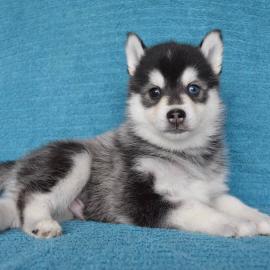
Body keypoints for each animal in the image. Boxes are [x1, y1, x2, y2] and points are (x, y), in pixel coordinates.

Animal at [0, 29, 270, 238]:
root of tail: (21, 162)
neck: (181, 153)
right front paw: (237, 224)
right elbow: (195, 209)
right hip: (75, 156)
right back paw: (41, 223)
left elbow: (232, 202)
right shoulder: (137, 199)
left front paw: (259, 218)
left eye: (193, 89)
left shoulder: (210, 190)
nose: (176, 114)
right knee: (31, 196)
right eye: (154, 92)